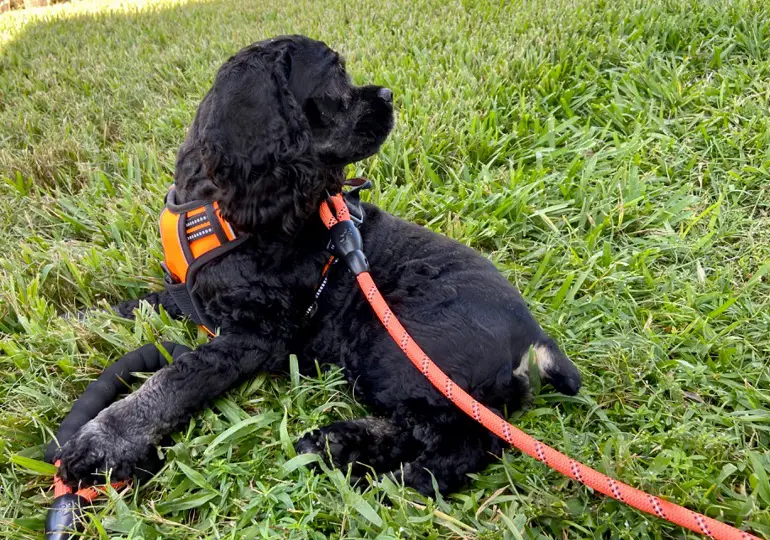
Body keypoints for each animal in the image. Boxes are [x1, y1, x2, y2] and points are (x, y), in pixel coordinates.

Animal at [58, 34, 576, 494]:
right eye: (334, 78)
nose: (389, 95)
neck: (216, 206)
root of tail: (535, 340)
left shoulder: (257, 335)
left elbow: (176, 377)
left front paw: (104, 442)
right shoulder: (193, 293)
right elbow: (144, 303)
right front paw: (82, 319)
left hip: (395, 342)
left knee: (470, 436)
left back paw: (408, 481)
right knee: (423, 424)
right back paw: (339, 443)